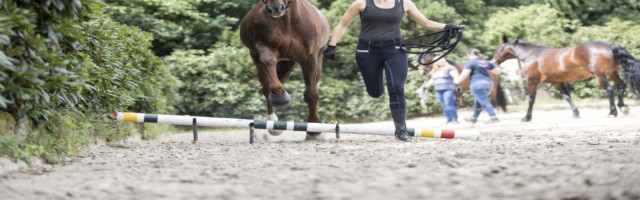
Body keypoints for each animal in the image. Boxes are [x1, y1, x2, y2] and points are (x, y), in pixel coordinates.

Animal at [240, 0, 330, 138]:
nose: (275, 8)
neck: (287, 20)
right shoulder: (265, 48)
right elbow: (270, 69)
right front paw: (281, 99)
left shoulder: (309, 59)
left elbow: (311, 94)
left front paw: (314, 126)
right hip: (258, 62)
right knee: (266, 88)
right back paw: (273, 124)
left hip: (318, 62)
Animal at [492, 36, 636, 121]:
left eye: (500, 48)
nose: (494, 61)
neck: (532, 55)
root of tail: (608, 45)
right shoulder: (557, 82)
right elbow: (567, 96)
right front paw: (576, 114)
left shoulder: (532, 81)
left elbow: (531, 100)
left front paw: (526, 117)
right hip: (612, 73)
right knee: (621, 85)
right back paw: (623, 107)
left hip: (600, 76)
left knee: (609, 90)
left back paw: (612, 112)